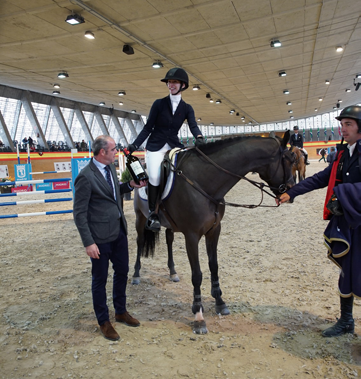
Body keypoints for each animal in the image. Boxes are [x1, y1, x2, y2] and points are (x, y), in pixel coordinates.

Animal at [131, 132, 294, 334]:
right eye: (289, 160)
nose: (290, 191)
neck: (204, 182)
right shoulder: (192, 236)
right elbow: (197, 274)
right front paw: (198, 315)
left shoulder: (214, 231)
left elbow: (214, 266)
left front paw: (220, 302)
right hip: (140, 217)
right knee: (139, 242)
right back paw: (136, 275)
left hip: (169, 225)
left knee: (169, 240)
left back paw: (172, 272)